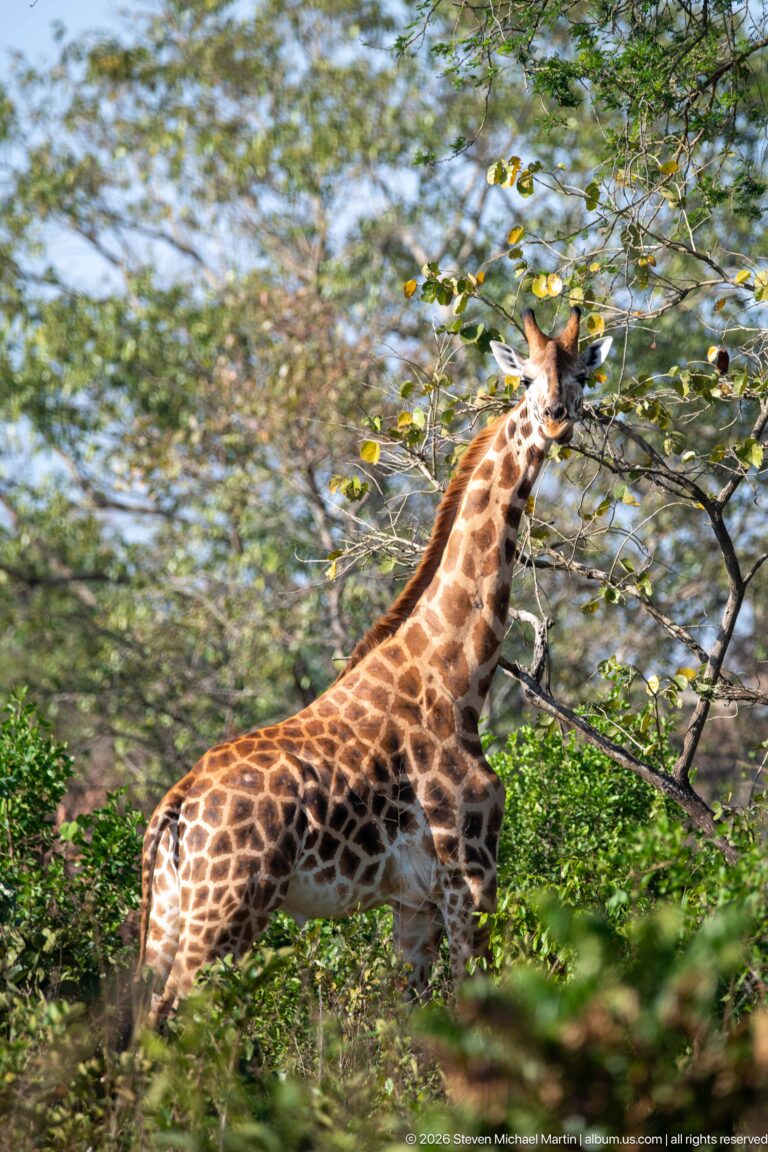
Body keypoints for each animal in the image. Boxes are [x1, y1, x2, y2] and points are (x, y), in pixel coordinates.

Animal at [136, 306, 613, 1023]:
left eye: (582, 372)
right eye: (525, 377)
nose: (557, 419)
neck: (458, 679)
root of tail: (175, 807)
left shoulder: (413, 903)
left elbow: (412, 1026)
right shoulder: (471, 873)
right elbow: (479, 1001)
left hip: (171, 913)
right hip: (229, 908)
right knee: (174, 1015)